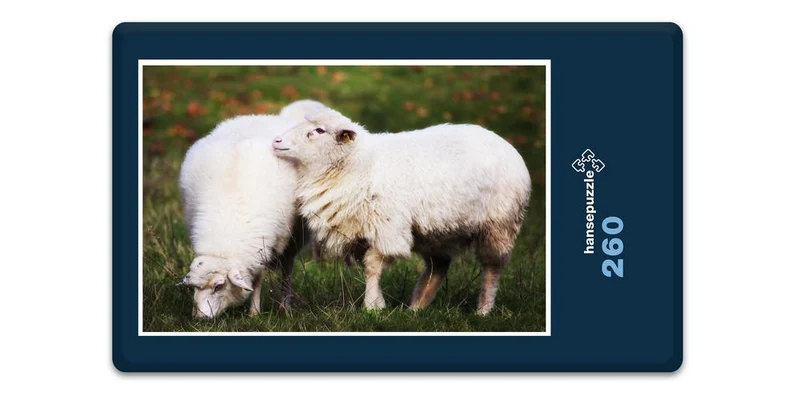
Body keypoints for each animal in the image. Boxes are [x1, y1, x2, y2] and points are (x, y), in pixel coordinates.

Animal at [178, 100, 326, 319]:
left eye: (219, 286)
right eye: (194, 288)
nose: (199, 318)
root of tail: (262, 116)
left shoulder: (265, 244)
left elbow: (257, 280)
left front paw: (254, 313)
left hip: (294, 236)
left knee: (287, 268)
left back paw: (285, 306)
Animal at [272, 108, 531, 315]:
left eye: (318, 130)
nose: (276, 141)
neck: (357, 165)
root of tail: (503, 142)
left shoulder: (386, 226)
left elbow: (372, 267)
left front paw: (372, 306)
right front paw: (378, 304)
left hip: (499, 225)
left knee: (492, 268)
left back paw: (483, 310)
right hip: (437, 230)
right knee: (439, 266)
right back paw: (416, 307)